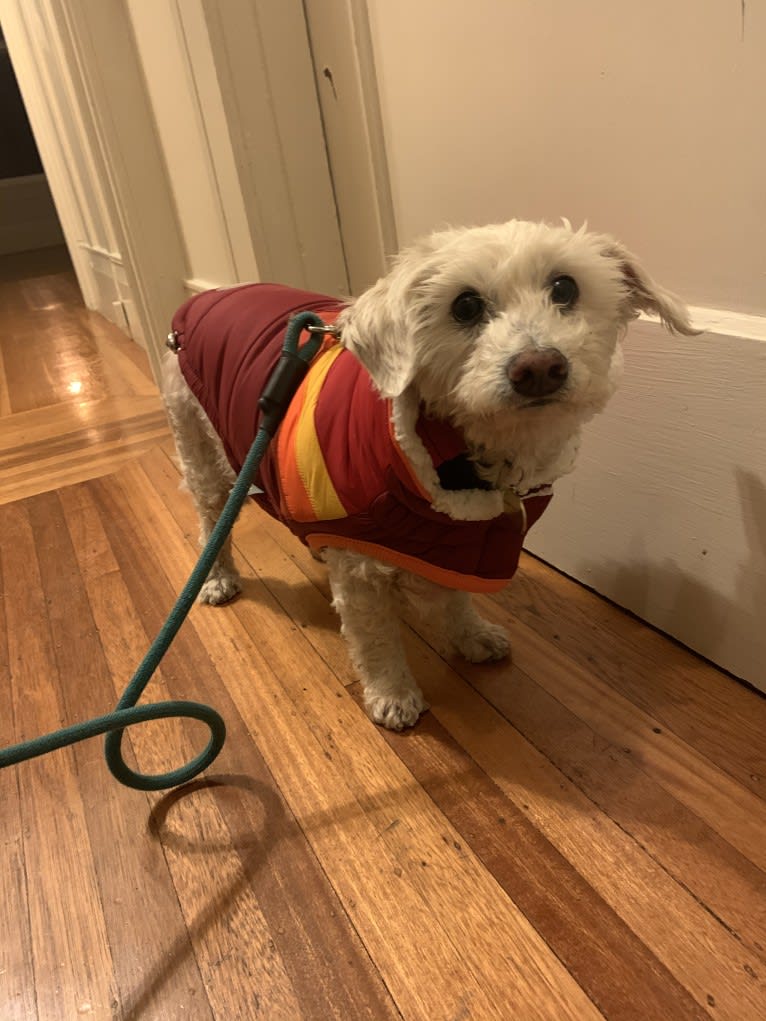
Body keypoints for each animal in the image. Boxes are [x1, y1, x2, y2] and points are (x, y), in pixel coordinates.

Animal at [163, 219, 702, 731]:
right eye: (465, 306)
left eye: (565, 288)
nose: (539, 367)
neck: (465, 458)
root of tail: (206, 295)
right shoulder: (361, 568)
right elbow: (375, 638)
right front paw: (393, 693)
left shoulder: (461, 540)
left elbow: (456, 596)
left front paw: (471, 635)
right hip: (201, 449)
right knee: (211, 522)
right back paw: (217, 578)